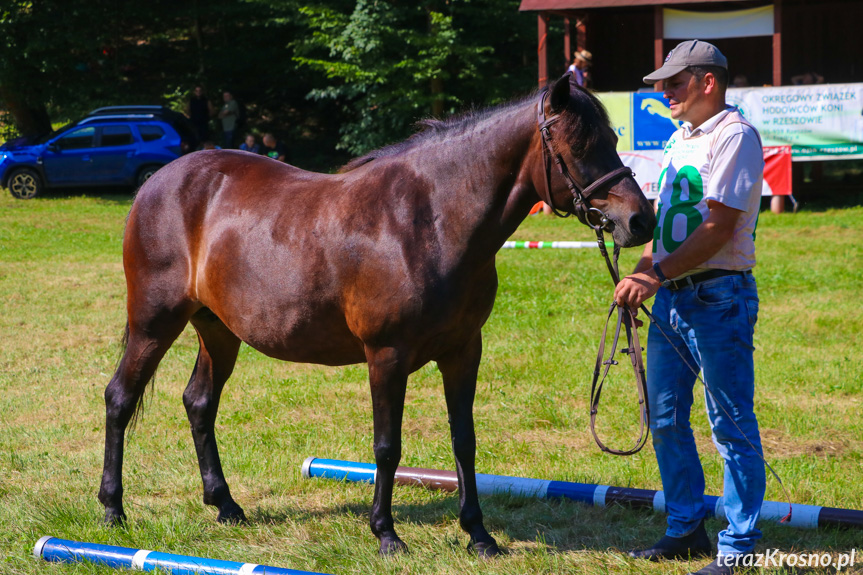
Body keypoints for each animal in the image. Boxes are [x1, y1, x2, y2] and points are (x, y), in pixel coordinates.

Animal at [99, 76, 656, 560]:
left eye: (613, 138)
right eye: (578, 145)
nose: (640, 219)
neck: (428, 222)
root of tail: (158, 182)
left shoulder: (463, 351)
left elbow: (465, 442)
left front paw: (478, 535)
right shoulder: (386, 356)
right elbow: (387, 447)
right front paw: (386, 534)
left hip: (218, 331)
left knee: (199, 403)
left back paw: (226, 505)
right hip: (154, 322)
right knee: (120, 398)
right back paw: (112, 511)